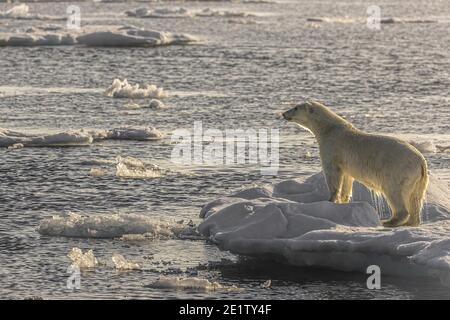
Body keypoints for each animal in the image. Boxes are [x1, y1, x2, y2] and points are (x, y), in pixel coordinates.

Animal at [284, 100, 428, 228]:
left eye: (295, 107)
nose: (283, 113)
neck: (329, 129)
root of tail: (421, 161)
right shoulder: (346, 163)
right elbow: (347, 179)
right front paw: (343, 200)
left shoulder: (332, 148)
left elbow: (332, 173)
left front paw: (330, 200)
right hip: (418, 179)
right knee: (415, 198)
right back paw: (412, 222)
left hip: (399, 169)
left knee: (394, 191)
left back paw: (389, 221)